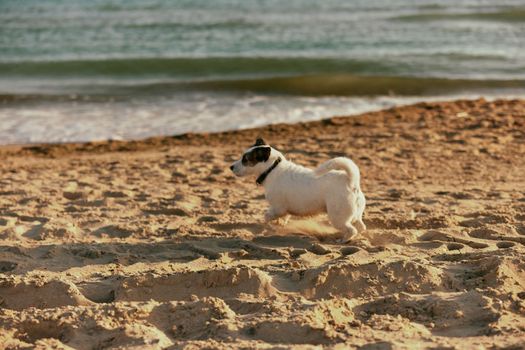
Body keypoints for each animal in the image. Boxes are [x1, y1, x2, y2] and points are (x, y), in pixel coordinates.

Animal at [229, 138, 364, 242]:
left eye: (246, 160)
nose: (231, 167)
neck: (272, 169)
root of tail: (351, 180)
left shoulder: (278, 208)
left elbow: (267, 216)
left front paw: (269, 225)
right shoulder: (284, 210)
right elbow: (283, 218)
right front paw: (279, 224)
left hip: (337, 217)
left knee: (352, 230)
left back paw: (344, 240)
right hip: (355, 215)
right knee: (361, 227)